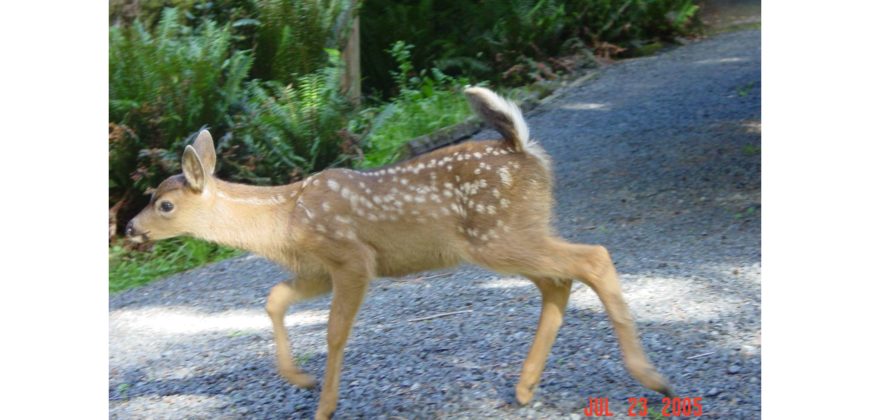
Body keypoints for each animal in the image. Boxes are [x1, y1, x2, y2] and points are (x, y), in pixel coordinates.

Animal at [127, 87, 676, 418]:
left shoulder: (351, 257)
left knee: (593, 257)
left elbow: (334, 332)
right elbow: (274, 299)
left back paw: (652, 378)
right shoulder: (318, 269)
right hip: (513, 235)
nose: (131, 227)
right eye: (153, 196)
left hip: (499, 235)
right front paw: (300, 379)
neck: (285, 219)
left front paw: (324, 405)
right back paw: (525, 387)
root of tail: (523, 147)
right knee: (557, 282)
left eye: (166, 204)